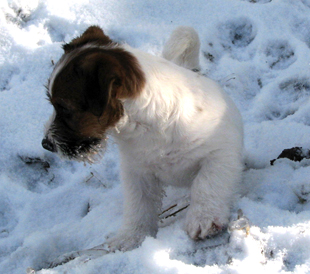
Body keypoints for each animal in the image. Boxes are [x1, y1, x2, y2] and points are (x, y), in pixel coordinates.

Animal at [42, 25, 243, 250]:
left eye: (65, 109)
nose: (45, 144)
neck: (147, 127)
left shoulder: (219, 154)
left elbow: (206, 184)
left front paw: (203, 218)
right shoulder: (137, 173)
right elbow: (138, 206)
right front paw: (132, 237)